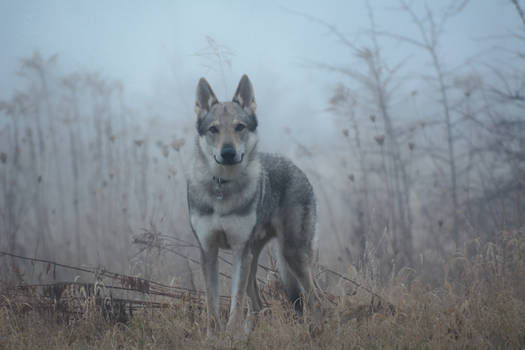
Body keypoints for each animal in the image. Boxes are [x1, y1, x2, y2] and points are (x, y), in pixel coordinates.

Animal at [188, 75, 320, 334]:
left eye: (240, 127)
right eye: (213, 129)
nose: (228, 152)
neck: (223, 188)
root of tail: (294, 166)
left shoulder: (240, 252)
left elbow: (236, 303)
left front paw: (229, 335)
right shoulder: (208, 250)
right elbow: (211, 306)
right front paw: (213, 337)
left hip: (290, 253)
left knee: (314, 298)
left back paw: (317, 328)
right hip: (254, 259)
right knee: (257, 306)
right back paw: (248, 335)